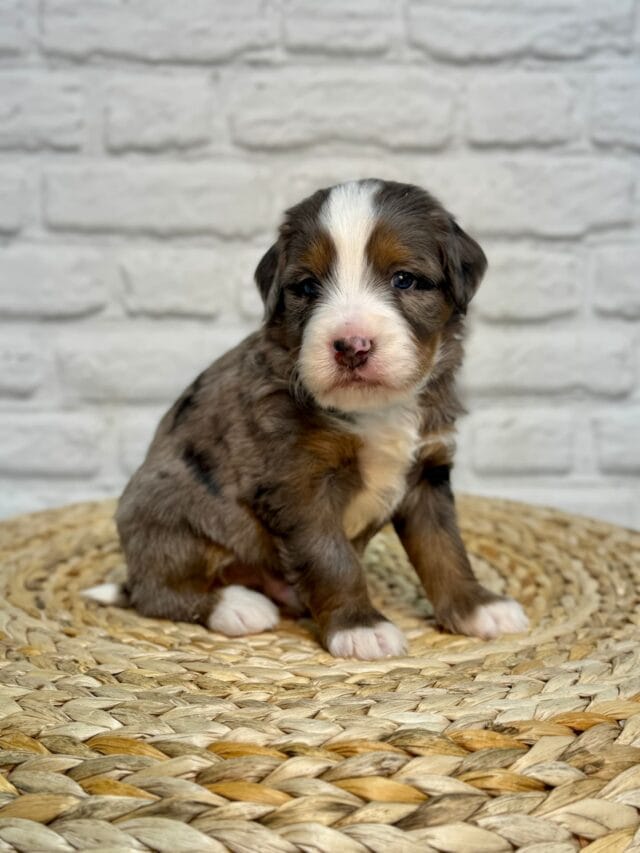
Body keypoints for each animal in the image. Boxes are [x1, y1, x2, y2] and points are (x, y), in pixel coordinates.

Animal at [85, 180, 528, 660]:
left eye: (404, 279)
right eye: (308, 287)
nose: (352, 345)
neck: (377, 408)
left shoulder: (427, 473)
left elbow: (444, 548)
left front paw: (477, 607)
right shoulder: (298, 484)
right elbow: (332, 559)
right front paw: (360, 627)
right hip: (168, 509)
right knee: (158, 591)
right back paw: (237, 606)